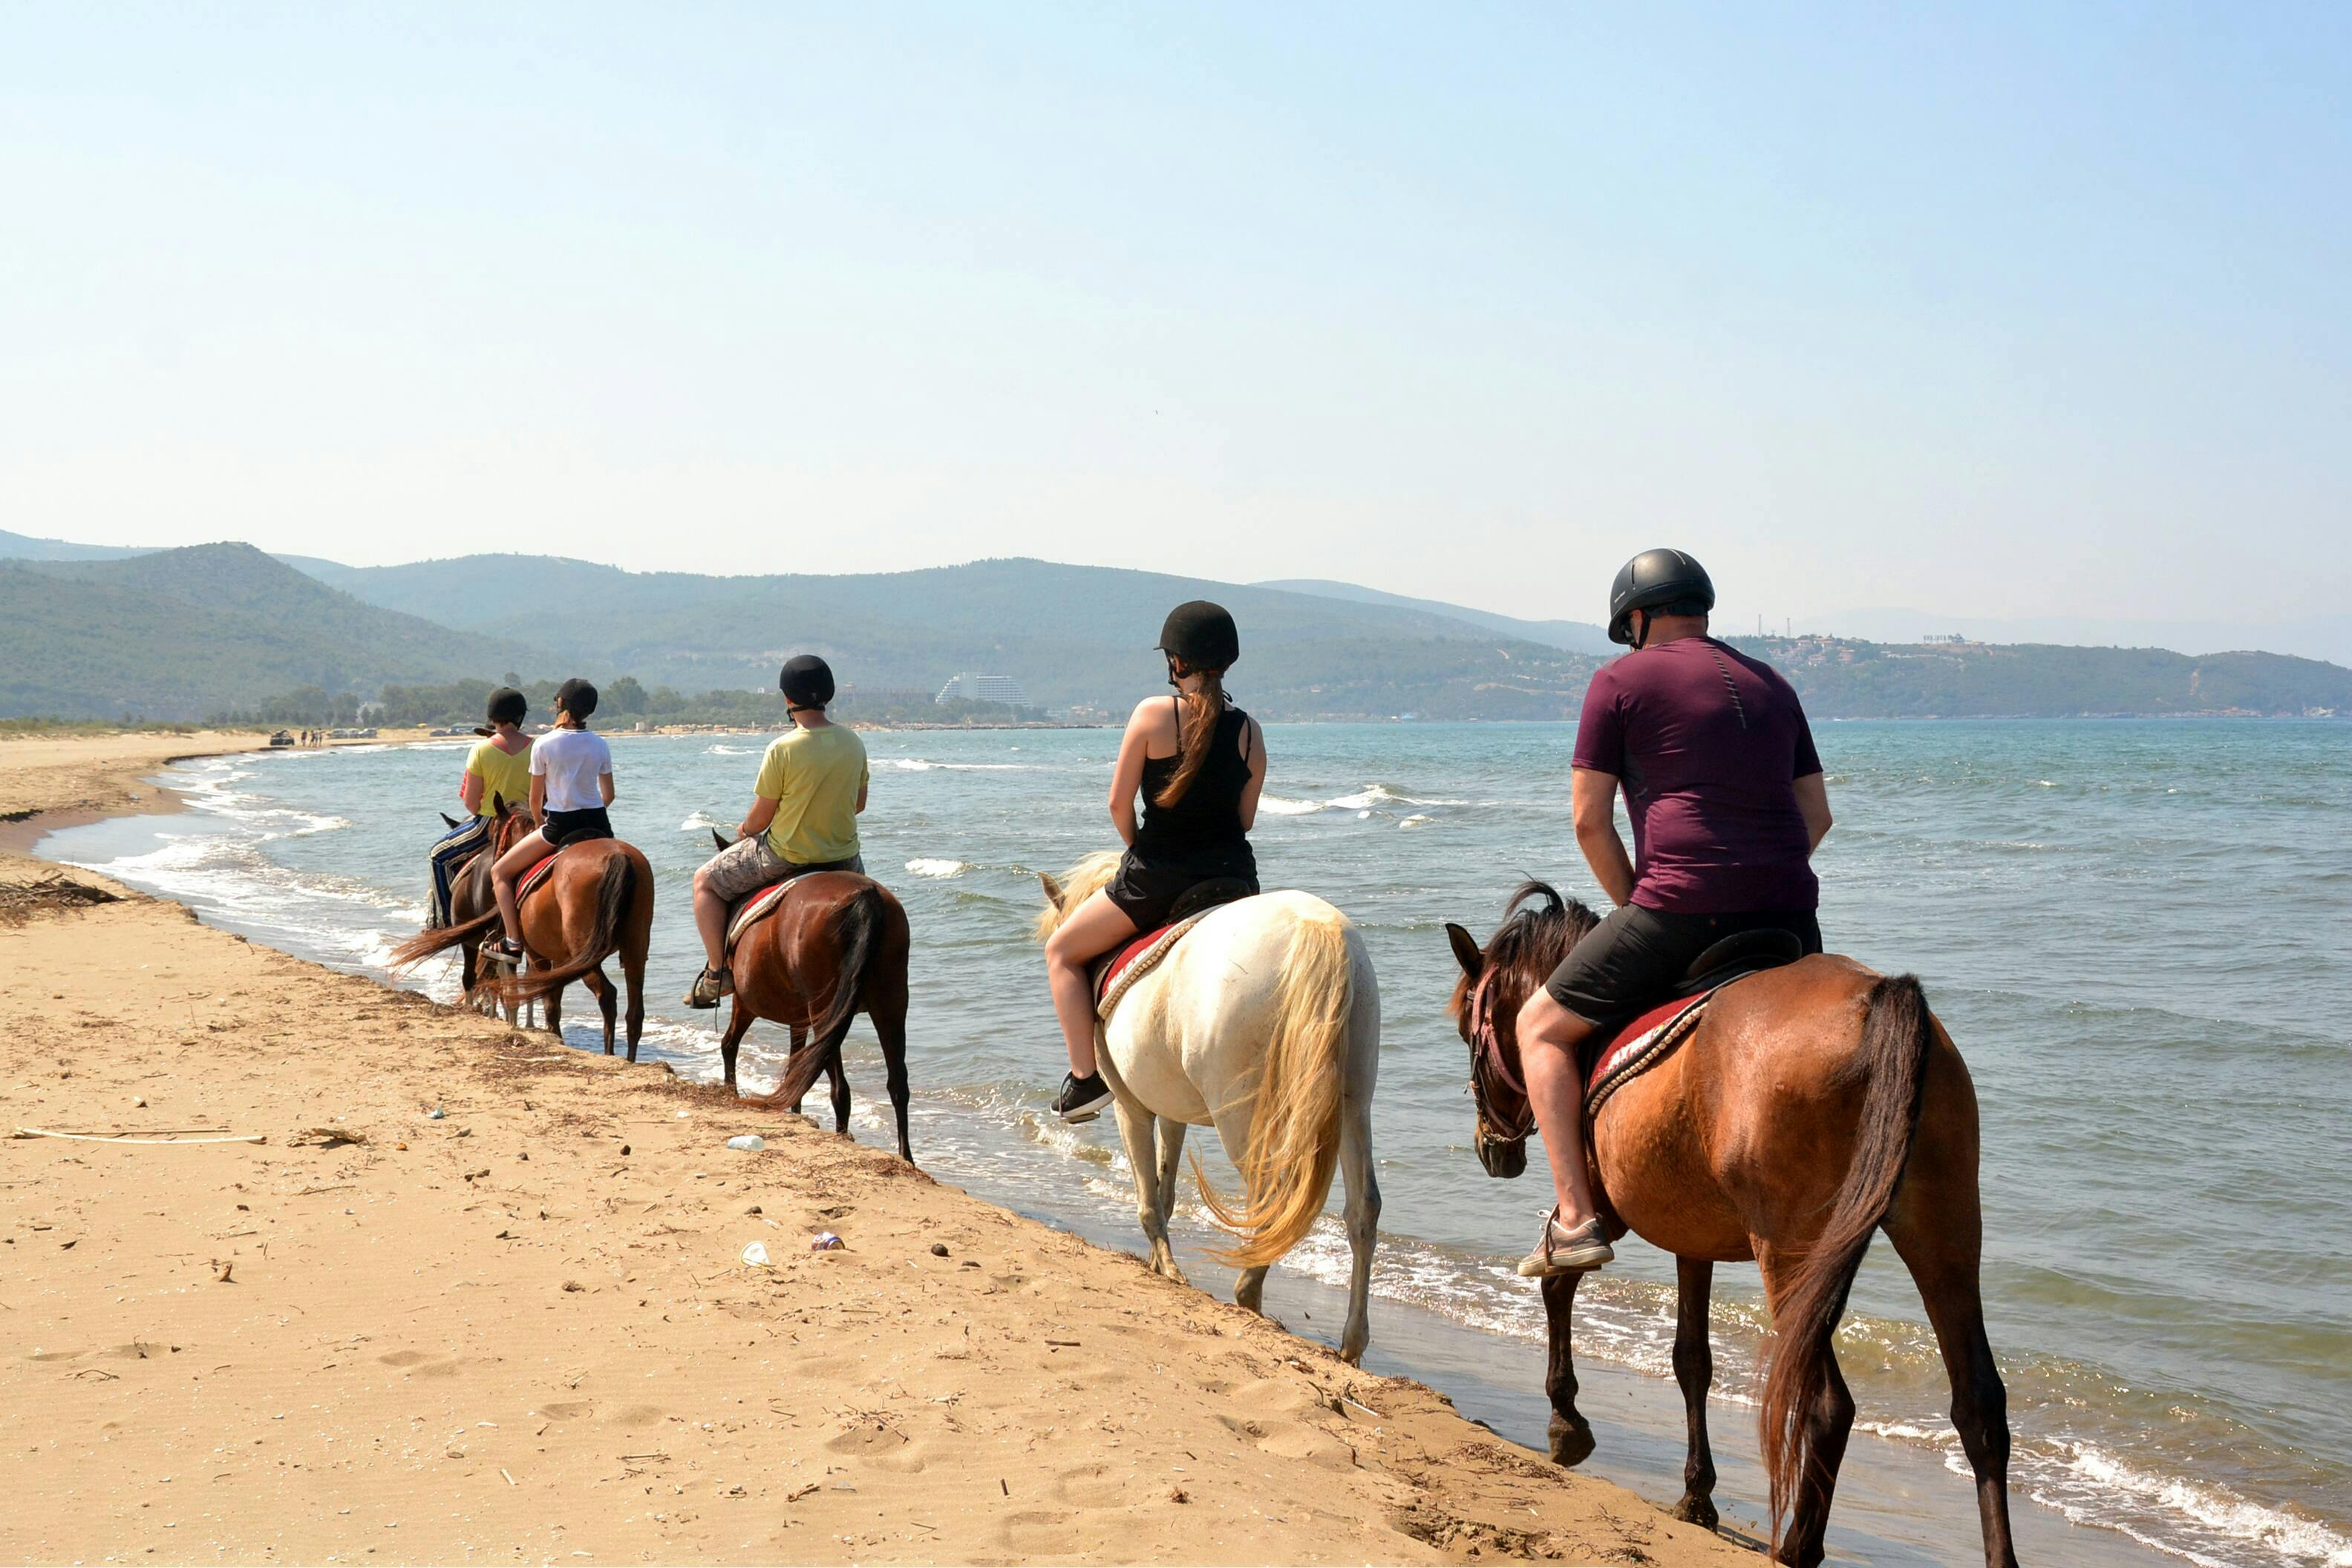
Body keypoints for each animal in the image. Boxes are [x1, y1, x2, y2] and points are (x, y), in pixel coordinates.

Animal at [390, 817, 653, 1062]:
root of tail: (618, 856)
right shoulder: (557, 960)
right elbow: (548, 999)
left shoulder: (537, 956)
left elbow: (547, 1003)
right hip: (634, 950)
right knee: (634, 1012)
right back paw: (628, 1059)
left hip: (585, 954)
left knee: (607, 995)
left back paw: (609, 1055)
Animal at [701, 832, 912, 1166]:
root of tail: (866, 898)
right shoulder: (797, 1016)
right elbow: (795, 1062)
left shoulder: (744, 1002)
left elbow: (729, 1044)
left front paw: (731, 1090)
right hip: (891, 1004)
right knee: (897, 1084)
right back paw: (906, 1157)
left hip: (826, 1010)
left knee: (840, 1088)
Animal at [1030, 860, 1373, 1363]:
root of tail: (1316, 929)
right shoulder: (1170, 1110)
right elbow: (1166, 1189)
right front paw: (1159, 1263)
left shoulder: (1132, 1108)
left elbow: (1148, 1198)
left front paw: (1167, 1268)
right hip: (1352, 1102)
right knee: (1362, 1209)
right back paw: (1352, 1341)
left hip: (1242, 1113)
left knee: (1271, 1197)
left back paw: (1248, 1291)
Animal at [1430, 883, 2022, 1568]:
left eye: (1465, 1029)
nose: (1492, 1149)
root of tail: (1878, 999)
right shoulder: (1693, 1236)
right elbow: (1692, 1359)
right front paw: (1697, 1494)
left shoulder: (1601, 1209)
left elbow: (1558, 1283)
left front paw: (1565, 1420)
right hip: (1944, 1233)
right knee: (1979, 1405)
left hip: (1791, 1250)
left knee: (1828, 1405)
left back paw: (1798, 1546)